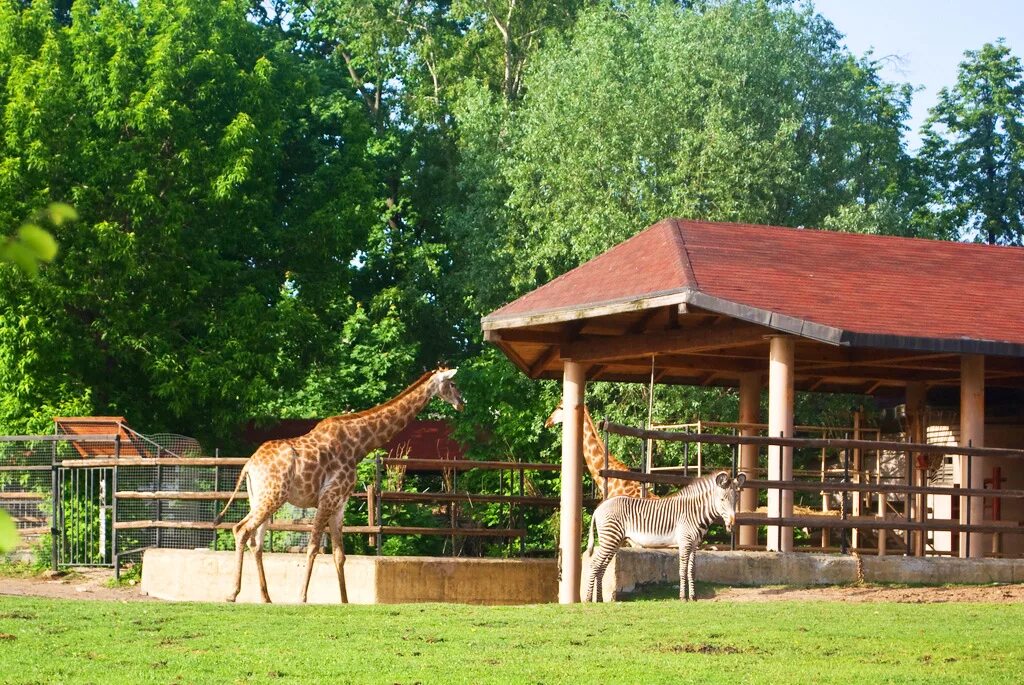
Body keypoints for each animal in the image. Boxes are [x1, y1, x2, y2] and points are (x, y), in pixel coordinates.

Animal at [220, 366, 468, 602]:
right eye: (453, 383)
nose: (462, 403)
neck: (360, 444)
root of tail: (249, 465)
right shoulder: (328, 497)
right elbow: (313, 548)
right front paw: (302, 596)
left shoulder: (340, 503)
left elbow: (339, 554)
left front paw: (345, 600)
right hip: (273, 495)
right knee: (242, 530)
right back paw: (232, 593)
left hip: (259, 497)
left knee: (255, 541)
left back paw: (266, 597)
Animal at [585, 466, 745, 602]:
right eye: (722, 499)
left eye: (736, 499)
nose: (732, 525)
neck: (695, 512)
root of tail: (599, 507)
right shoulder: (685, 541)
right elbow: (682, 569)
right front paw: (683, 597)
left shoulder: (694, 544)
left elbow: (692, 570)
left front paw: (693, 597)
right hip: (610, 538)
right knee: (594, 564)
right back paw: (588, 599)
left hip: (614, 540)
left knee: (601, 566)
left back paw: (599, 599)